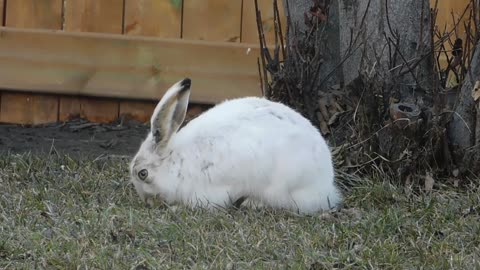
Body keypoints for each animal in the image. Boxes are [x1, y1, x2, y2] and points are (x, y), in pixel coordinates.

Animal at [129, 77, 344, 213]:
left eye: (142, 174)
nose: (147, 202)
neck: (175, 162)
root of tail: (326, 185)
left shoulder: (208, 194)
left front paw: (174, 208)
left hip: (285, 186)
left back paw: (251, 204)